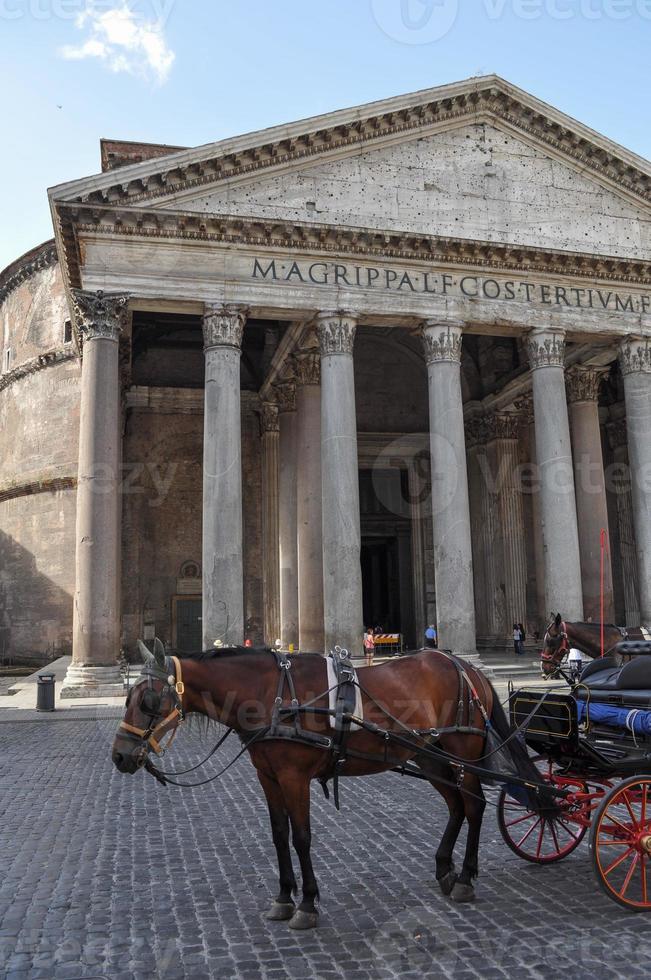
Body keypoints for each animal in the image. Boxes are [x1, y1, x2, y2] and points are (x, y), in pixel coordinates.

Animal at [113, 644, 552, 928]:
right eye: (127, 696)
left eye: (149, 700)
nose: (119, 756)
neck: (271, 694)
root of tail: (465, 666)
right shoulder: (267, 775)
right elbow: (278, 834)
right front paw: (283, 898)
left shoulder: (294, 776)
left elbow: (302, 837)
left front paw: (307, 904)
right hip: (431, 755)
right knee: (457, 807)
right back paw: (445, 870)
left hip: (463, 749)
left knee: (475, 805)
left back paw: (464, 879)